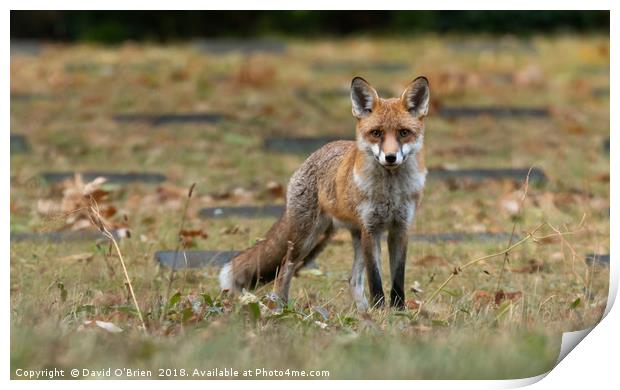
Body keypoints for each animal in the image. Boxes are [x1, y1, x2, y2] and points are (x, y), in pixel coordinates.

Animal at [220, 76, 428, 310]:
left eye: (403, 132)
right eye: (376, 133)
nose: (390, 157)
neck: (390, 193)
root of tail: (318, 151)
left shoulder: (400, 229)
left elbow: (397, 279)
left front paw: (398, 312)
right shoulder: (371, 229)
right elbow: (375, 280)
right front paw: (380, 311)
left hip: (340, 238)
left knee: (353, 280)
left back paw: (363, 312)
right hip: (307, 239)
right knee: (284, 268)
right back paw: (281, 307)